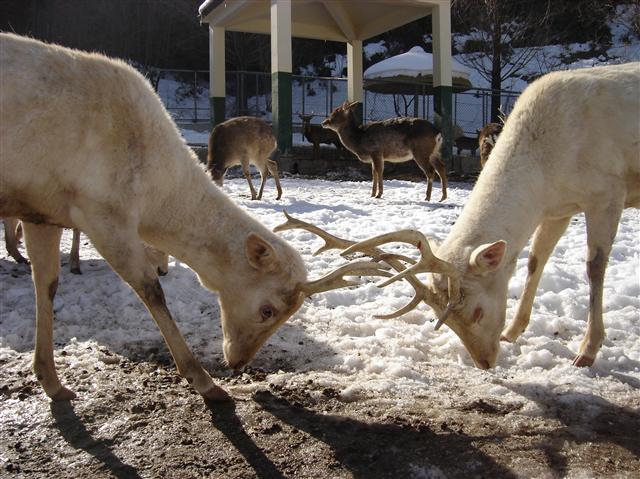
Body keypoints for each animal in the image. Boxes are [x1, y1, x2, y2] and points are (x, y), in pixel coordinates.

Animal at [0, 33, 386, 402]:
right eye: (267, 310)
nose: (238, 364)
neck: (152, 198)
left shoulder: (43, 212)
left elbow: (46, 284)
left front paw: (51, 381)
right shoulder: (101, 210)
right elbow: (151, 289)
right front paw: (205, 382)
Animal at [288, 63, 640, 370]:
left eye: (478, 312)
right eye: (443, 320)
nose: (485, 363)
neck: (548, 168)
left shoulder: (608, 193)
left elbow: (595, 267)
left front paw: (587, 351)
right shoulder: (558, 208)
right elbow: (534, 261)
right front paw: (513, 331)